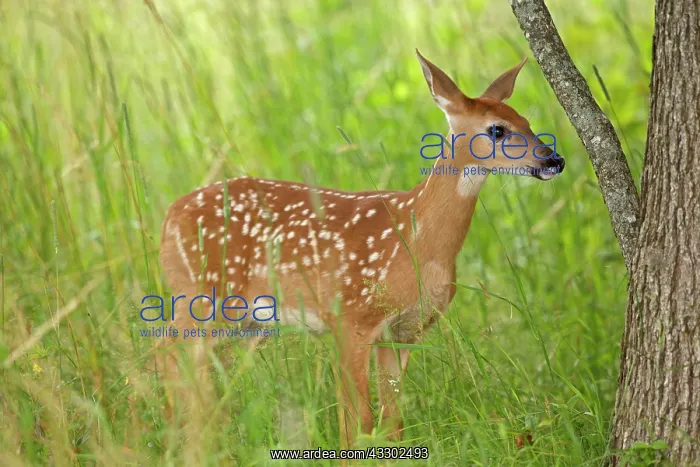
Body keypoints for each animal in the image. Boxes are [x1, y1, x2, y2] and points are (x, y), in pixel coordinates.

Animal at [157, 50, 565, 446]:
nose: (554, 160)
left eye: (526, 120)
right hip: (202, 297)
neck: (420, 244)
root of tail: (169, 216)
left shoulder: (404, 331)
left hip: (244, 322)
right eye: (497, 129)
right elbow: (357, 422)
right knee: (169, 355)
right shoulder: (350, 318)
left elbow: (392, 421)